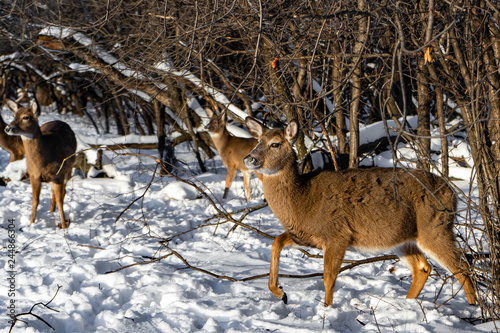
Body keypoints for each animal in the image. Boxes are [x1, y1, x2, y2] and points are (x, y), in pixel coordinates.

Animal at [4, 99, 77, 228]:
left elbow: (60, 200)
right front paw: (31, 224)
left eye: (26, 117)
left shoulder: (58, 175)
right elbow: (35, 200)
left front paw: (64, 226)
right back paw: (51, 211)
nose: (8, 128)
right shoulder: (33, 176)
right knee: (54, 193)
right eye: (14, 116)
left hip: (68, 170)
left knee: (63, 192)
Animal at [242, 116, 476, 306]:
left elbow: (328, 278)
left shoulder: (337, 235)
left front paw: (326, 310)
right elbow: (276, 242)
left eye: (275, 144)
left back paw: (476, 310)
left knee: (462, 266)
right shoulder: (305, 236)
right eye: (258, 141)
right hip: (405, 239)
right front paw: (280, 292)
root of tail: (452, 193)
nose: (249, 158)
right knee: (423, 268)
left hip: (435, 227)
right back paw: (408, 302)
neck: (301, 199)